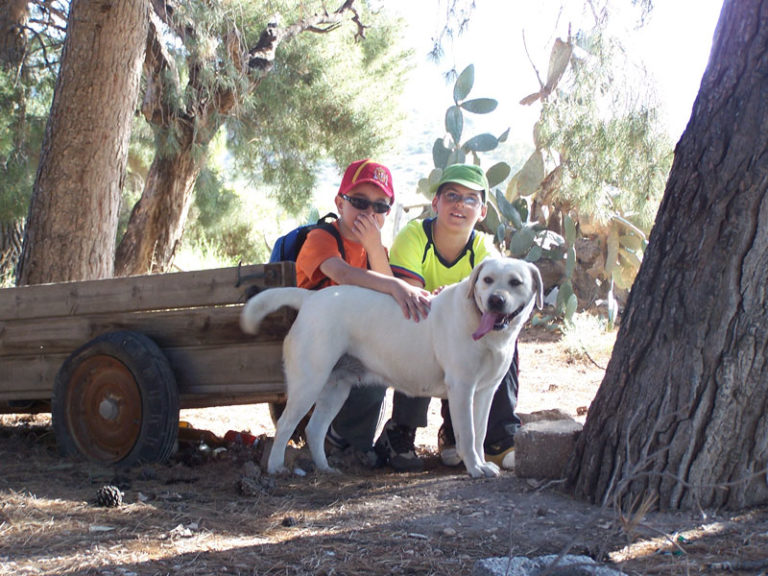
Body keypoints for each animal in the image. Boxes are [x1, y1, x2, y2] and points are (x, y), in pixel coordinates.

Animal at [243, 258, 544, 480]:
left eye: (515, 282)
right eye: (487, 280)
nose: (495, 300)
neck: (481, 323)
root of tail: (310, 298)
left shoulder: (485, 392)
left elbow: (479, 433)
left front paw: (482, 463)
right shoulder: (462, 389)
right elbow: (467, 435)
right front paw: (474, 468)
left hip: (336, 389)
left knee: (315, 429)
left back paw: (326, 468)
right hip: (309, 383)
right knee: (286, 425)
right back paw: (276, 467)